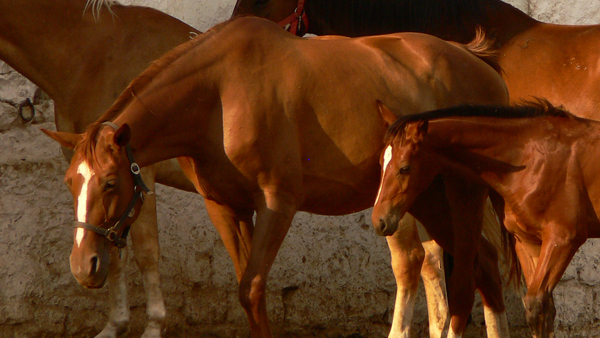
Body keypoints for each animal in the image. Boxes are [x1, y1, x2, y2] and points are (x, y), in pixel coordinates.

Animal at [0, 1, 202, 336]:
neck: (88, 53)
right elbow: (110, 248)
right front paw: (115, 324)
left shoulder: (138, 175)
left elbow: (146, 252)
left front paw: (153, 326)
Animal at [43, 17, 510, 338]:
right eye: (70, 182)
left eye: (109, 182)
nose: (83, 265)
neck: (220, 94)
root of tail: (481, 66)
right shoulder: (225, 208)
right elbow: (249, 292)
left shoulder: (277, 204)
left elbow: (251, 289)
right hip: (426, 197)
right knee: (483, 265)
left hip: (459, 194)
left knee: (466, 268)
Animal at [370, 100, 600, 338]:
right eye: (380, 162)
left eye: (404, 168)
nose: (379, 220)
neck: (530, 157)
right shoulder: (527, 241)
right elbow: (544, 308)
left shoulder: (563, 239)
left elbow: (536, 305)